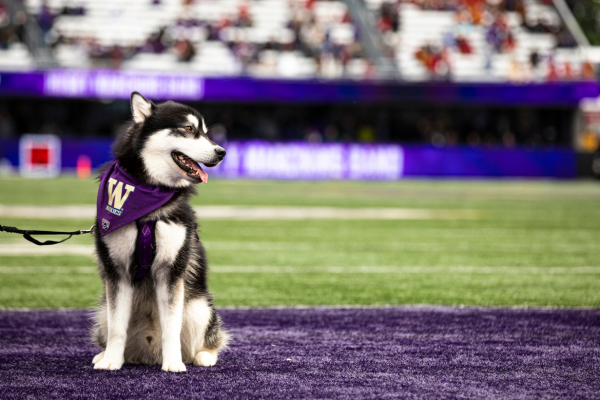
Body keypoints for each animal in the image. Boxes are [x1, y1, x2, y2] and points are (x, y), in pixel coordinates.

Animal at [92, 91, 230, 372]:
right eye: (189, 129)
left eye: (206, 132)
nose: (222, 152)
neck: (147, 208)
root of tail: (147, 353)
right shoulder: (117, 271)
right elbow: (117, 328)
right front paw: (111, 361)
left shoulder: (171, 271)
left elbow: (171, 327)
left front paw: (173, 363)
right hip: (102, 310)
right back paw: (105, 355)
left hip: (199, 307)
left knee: (209, 338)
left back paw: (203, 356)